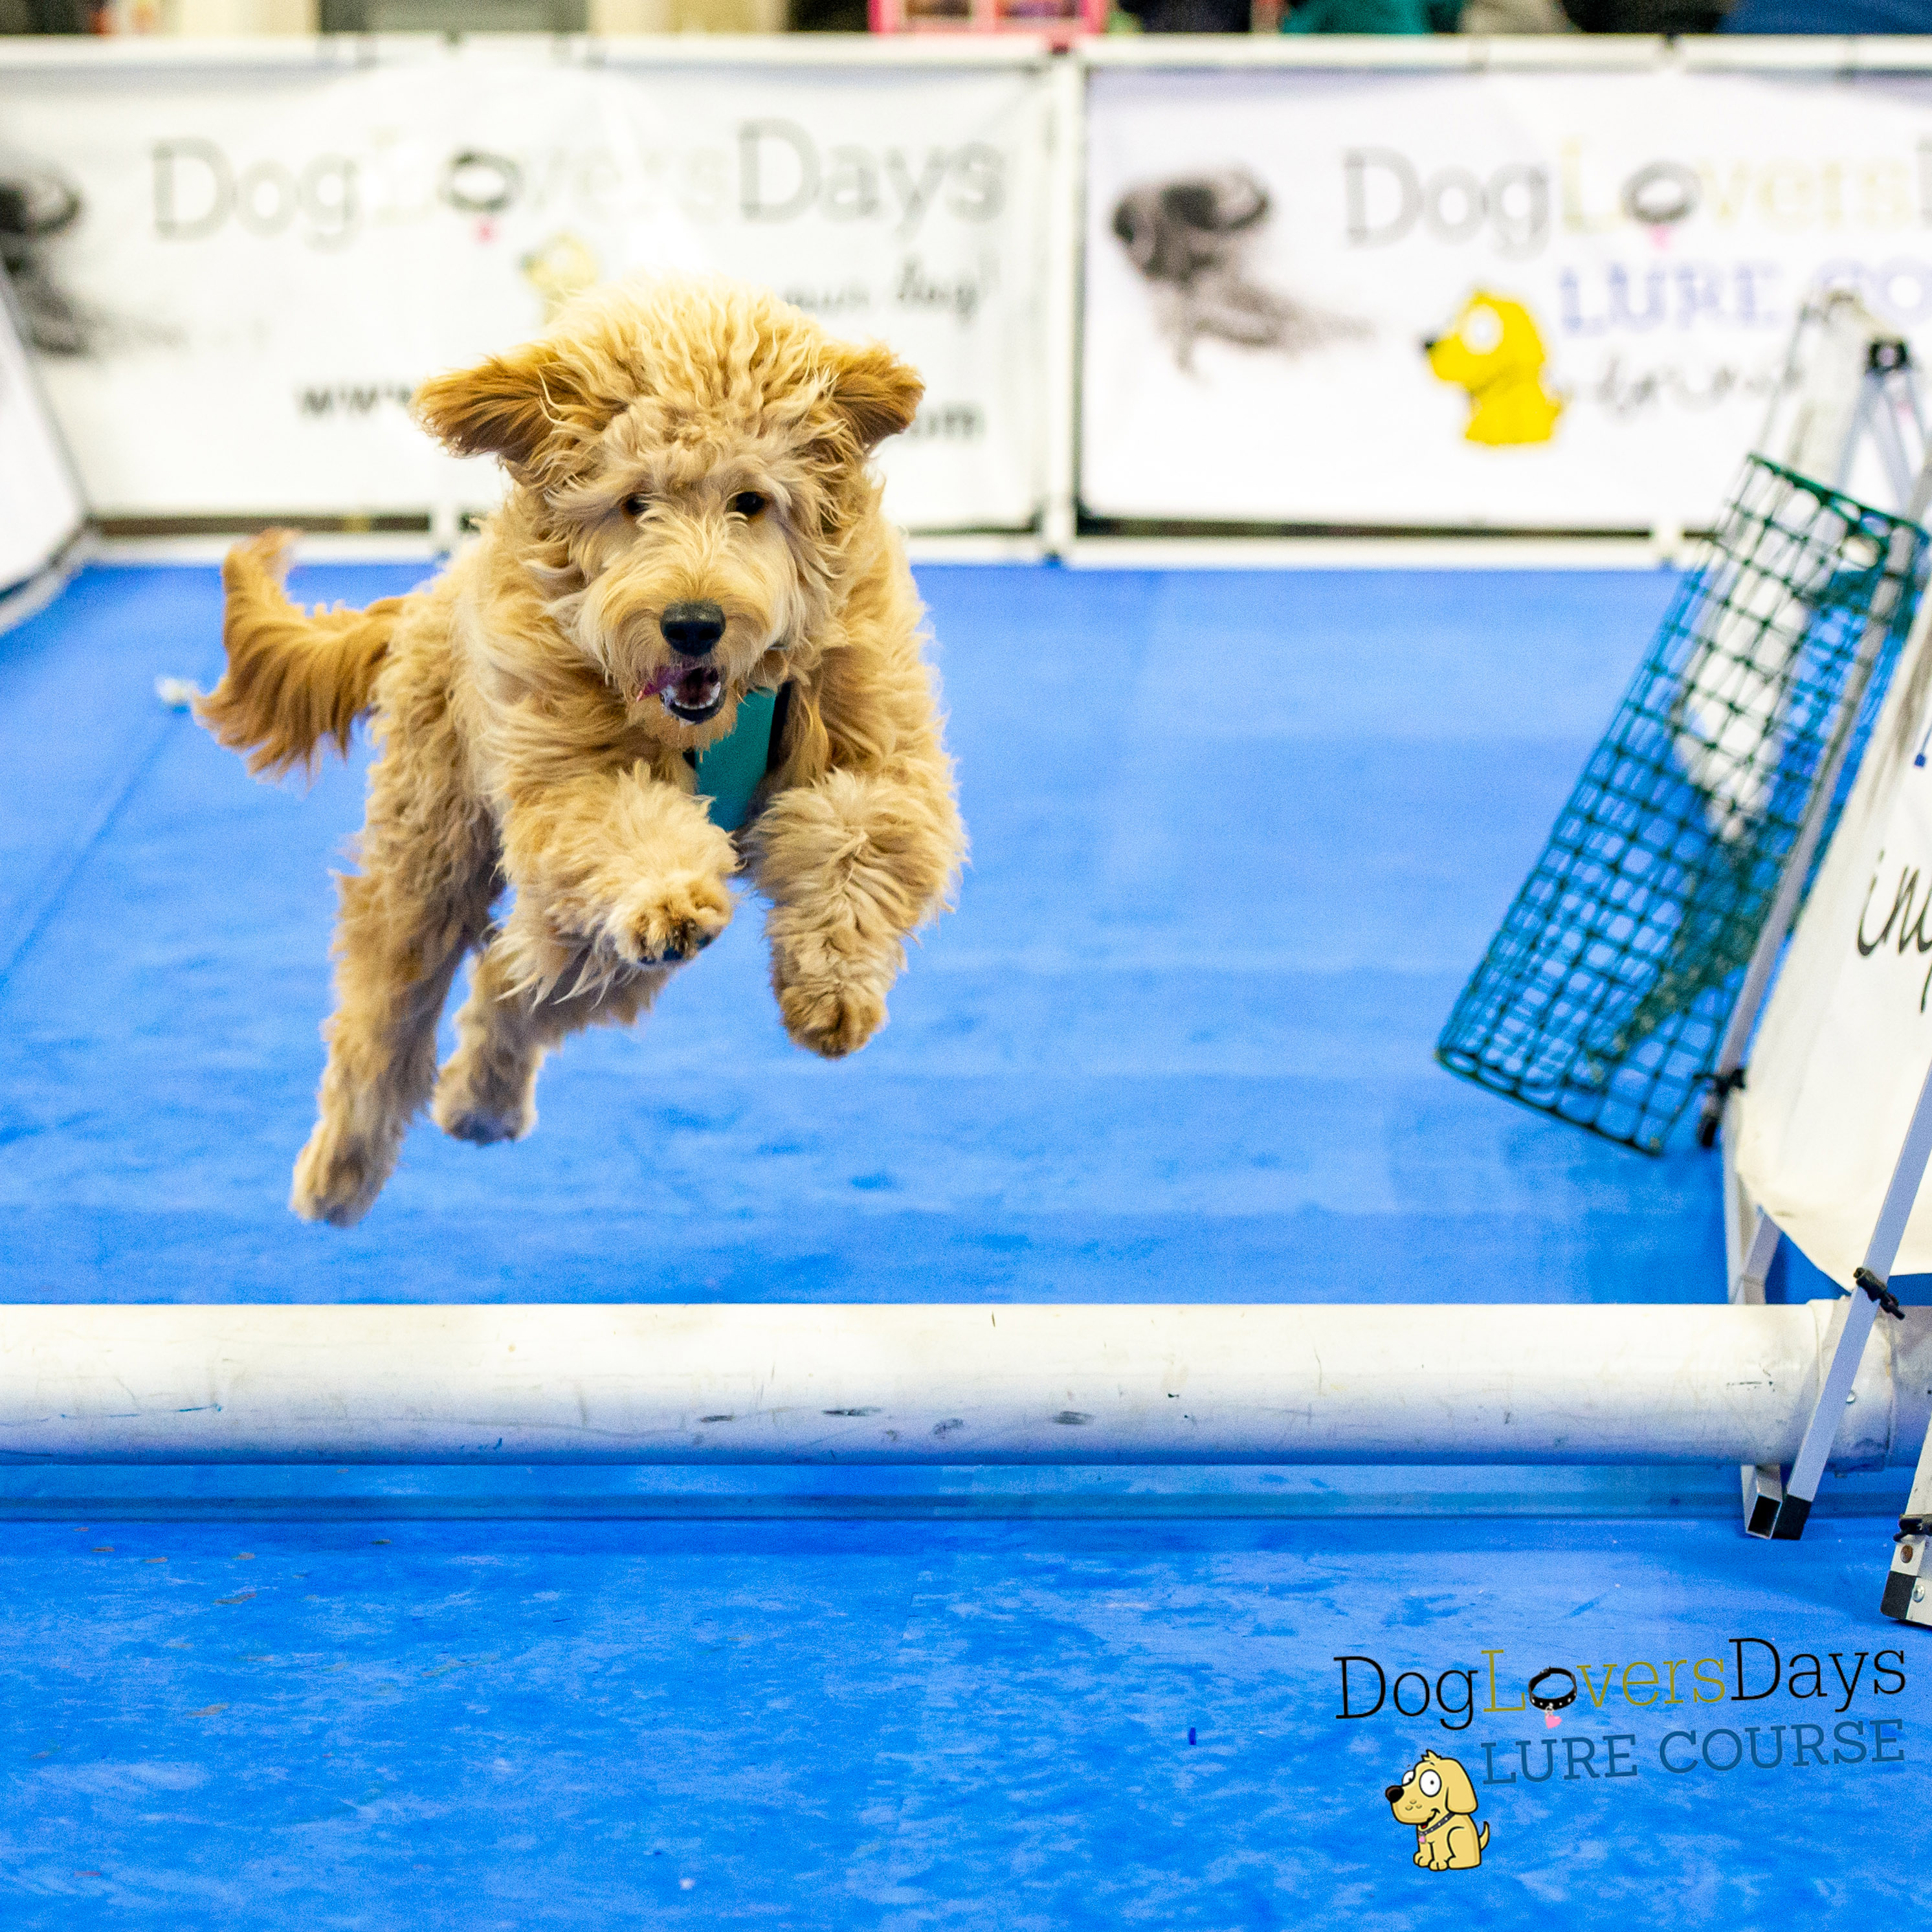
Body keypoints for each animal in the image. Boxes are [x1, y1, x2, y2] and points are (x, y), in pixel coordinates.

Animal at [199, 276, 966, 1221]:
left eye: (750, 501)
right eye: (634, 503)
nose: (692, 624)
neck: (707, 716)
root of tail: (429, 597)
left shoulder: (872, 738)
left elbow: (864, 838)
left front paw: (830, 990)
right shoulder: (565, 774)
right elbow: (619, 820)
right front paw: (671, 894)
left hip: (581, 942)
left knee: (514, 979)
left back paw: (479, 1103)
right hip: (431, 852)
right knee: (390, 1009)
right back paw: (339, 1173)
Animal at [1383, 1754, 1483, 1870]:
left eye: (1431, 1783)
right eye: (1408, 1778)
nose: (1393, 1793)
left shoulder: (1442, 1839)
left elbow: (1439, 1849)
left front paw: (1438, 1863)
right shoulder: (1422, 1841)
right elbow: (1425, 1849)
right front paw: (1422, 1859)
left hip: (1456, 1833)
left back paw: (1457, 1862)